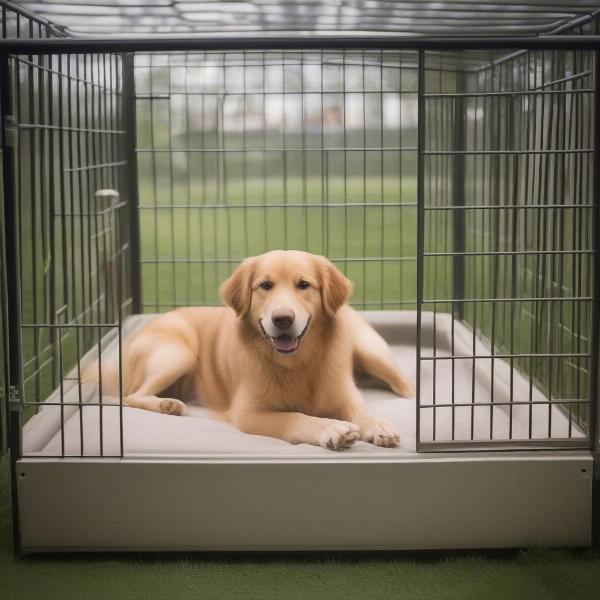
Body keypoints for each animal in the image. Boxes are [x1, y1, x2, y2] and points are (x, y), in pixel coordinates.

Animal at [102, 250, 412, 450]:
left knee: (404, 385)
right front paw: (328, 427)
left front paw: (377, 424)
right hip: (177, 354)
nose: (283, 319)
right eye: (265, 285)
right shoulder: (249, 413)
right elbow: (294, 417)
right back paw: (168, 405)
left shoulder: (345, 396)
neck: (297, 363)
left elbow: (358, 410)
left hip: (372, 351)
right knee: (131, 395)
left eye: (303, 285)